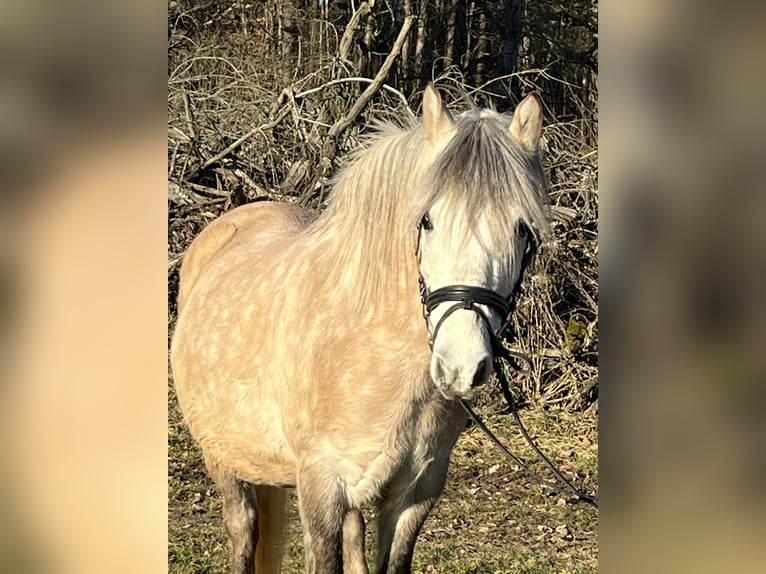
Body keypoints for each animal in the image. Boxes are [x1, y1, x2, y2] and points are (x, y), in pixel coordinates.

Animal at [170, 84, 550, 574]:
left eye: (523, 229)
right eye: (427, 220)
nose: (460, 367)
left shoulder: (416, 493)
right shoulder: (321, 487)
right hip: (223, 458)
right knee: (243, 533)